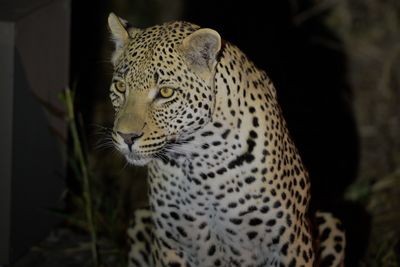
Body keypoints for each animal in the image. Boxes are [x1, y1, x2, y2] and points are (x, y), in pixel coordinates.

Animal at [107, 13, 346, 267]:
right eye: (120, 87)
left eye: (166, 92)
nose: (126, 136)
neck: (200, 165)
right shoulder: (169, 243)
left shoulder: (290, 241)